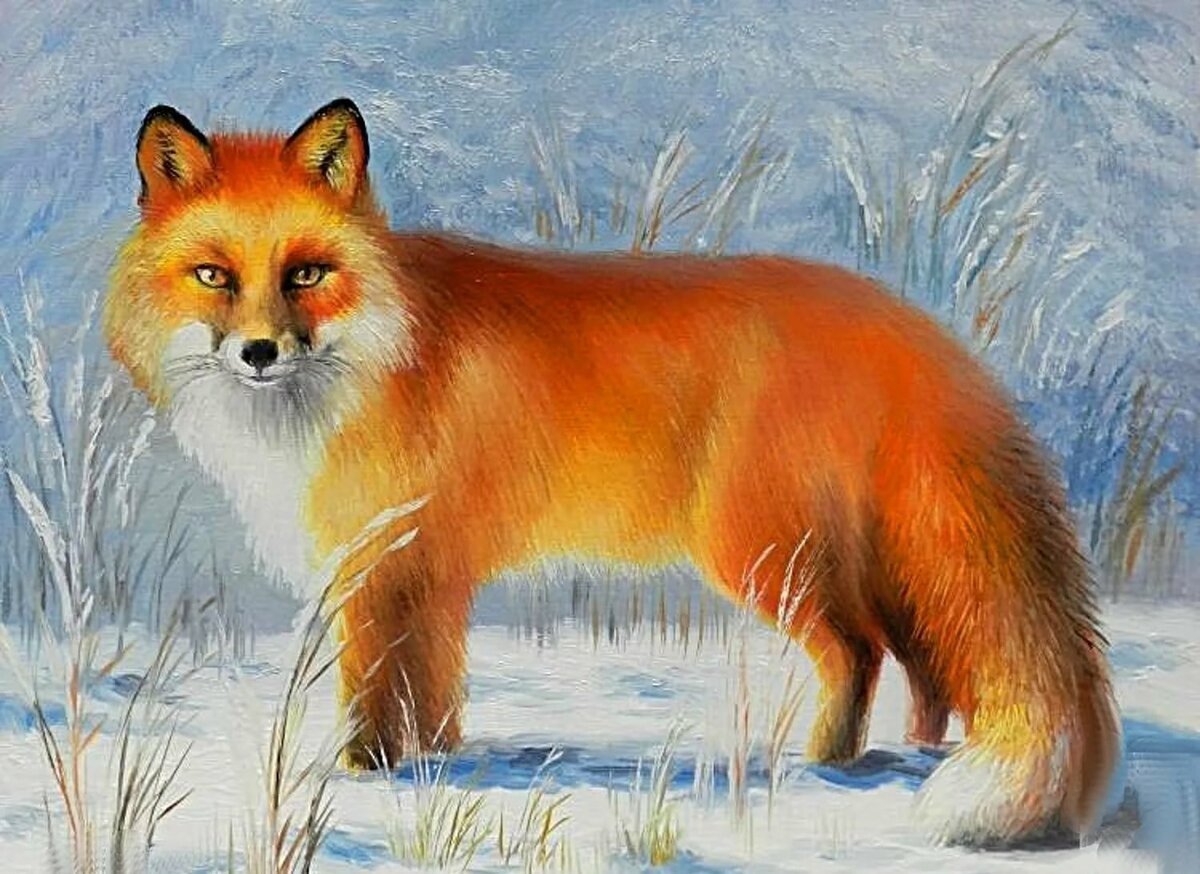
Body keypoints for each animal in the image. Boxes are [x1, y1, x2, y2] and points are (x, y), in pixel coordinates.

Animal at [105, 98, 1121, 847]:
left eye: (307, 274)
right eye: (214, 276)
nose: (259, 353)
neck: (372, 358)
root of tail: (903, 321)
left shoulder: (382, 569)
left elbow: (372, 701)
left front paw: (361, 781)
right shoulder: (430, 576)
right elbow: (431, 698)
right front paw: (431, 773)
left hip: (761, 551)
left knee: (859, 651)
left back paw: (822, 769)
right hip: (868, 559)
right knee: (927, 665)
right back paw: (903, 761)